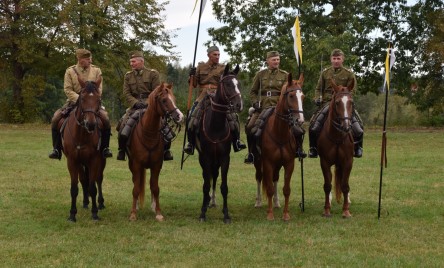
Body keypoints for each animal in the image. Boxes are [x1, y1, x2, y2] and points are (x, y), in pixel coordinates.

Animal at [62, 75, 106, 222]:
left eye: (98, 99)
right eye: (82, 99)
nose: (90, 124)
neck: (82, 134)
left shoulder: (95, 160)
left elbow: (93, 187)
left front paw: (95, 213)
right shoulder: (72, 161)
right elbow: (74, 188)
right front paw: (72, 214)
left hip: (101, 161)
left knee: (99, 179)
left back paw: (100, 203)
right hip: (81, 163)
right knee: (83, 180)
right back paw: (86, 202)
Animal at [126, 82, 184, 221]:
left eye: (174, 99)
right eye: (164, 100)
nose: (180, 116)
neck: (149, 134)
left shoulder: (157, 165)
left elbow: (155, 188)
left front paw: (158, 212)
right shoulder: (136, 165)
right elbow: (136, 188)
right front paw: (133, 213)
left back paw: (152, 206)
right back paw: (136, 206)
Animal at [194, 63, 243, 223]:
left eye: (238, 84)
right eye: (228, 84)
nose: (239, 105)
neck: (215, 125)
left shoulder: (224, 158)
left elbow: (224, 186)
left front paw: (226, 215)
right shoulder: (206, 158)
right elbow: (206, 184)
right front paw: (202, 213)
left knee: (214, 176)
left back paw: (213, 201)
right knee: (207, 177)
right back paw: (207, 201)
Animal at [253, 73, 306, 220]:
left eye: (303, 97)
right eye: (291, 96)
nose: (300, 121)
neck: (280, 132)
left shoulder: (289, 163)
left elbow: (286, 189)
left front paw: (286, 214)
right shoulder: (268, 163)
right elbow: (269, 188)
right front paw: (270, 214)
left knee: (275, 178)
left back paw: (276, 203)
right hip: (258, 162)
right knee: (259, 177)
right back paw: (258, 202)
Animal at [318, 79, 356, 218]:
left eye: (351, 102)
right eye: (337, 102)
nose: (346, 126)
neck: (337, 137)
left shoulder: (348, 162)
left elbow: (345, 186)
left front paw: (346, 211)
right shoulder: (324, 162)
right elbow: (327, 185)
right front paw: (326, 209)